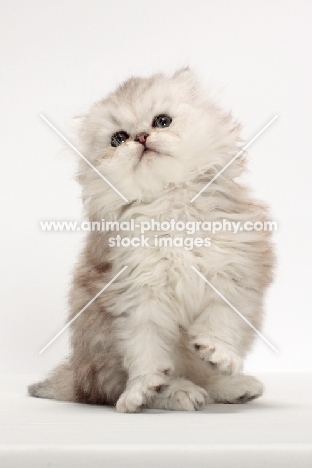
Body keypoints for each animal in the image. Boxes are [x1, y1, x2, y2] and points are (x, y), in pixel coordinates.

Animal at [28, 67, 274, 412]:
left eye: (162, 121)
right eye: (118, 139)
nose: (141, 137)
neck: (169, 202)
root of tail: (77, 380)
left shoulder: (234, 276)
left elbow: (220, 323)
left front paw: (218, 352)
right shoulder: (137, 297)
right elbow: (146, 353)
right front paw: (142, 389)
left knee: (205, 378)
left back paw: (232, 386)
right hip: (102, 356)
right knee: (122, 387)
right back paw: (179, 392)